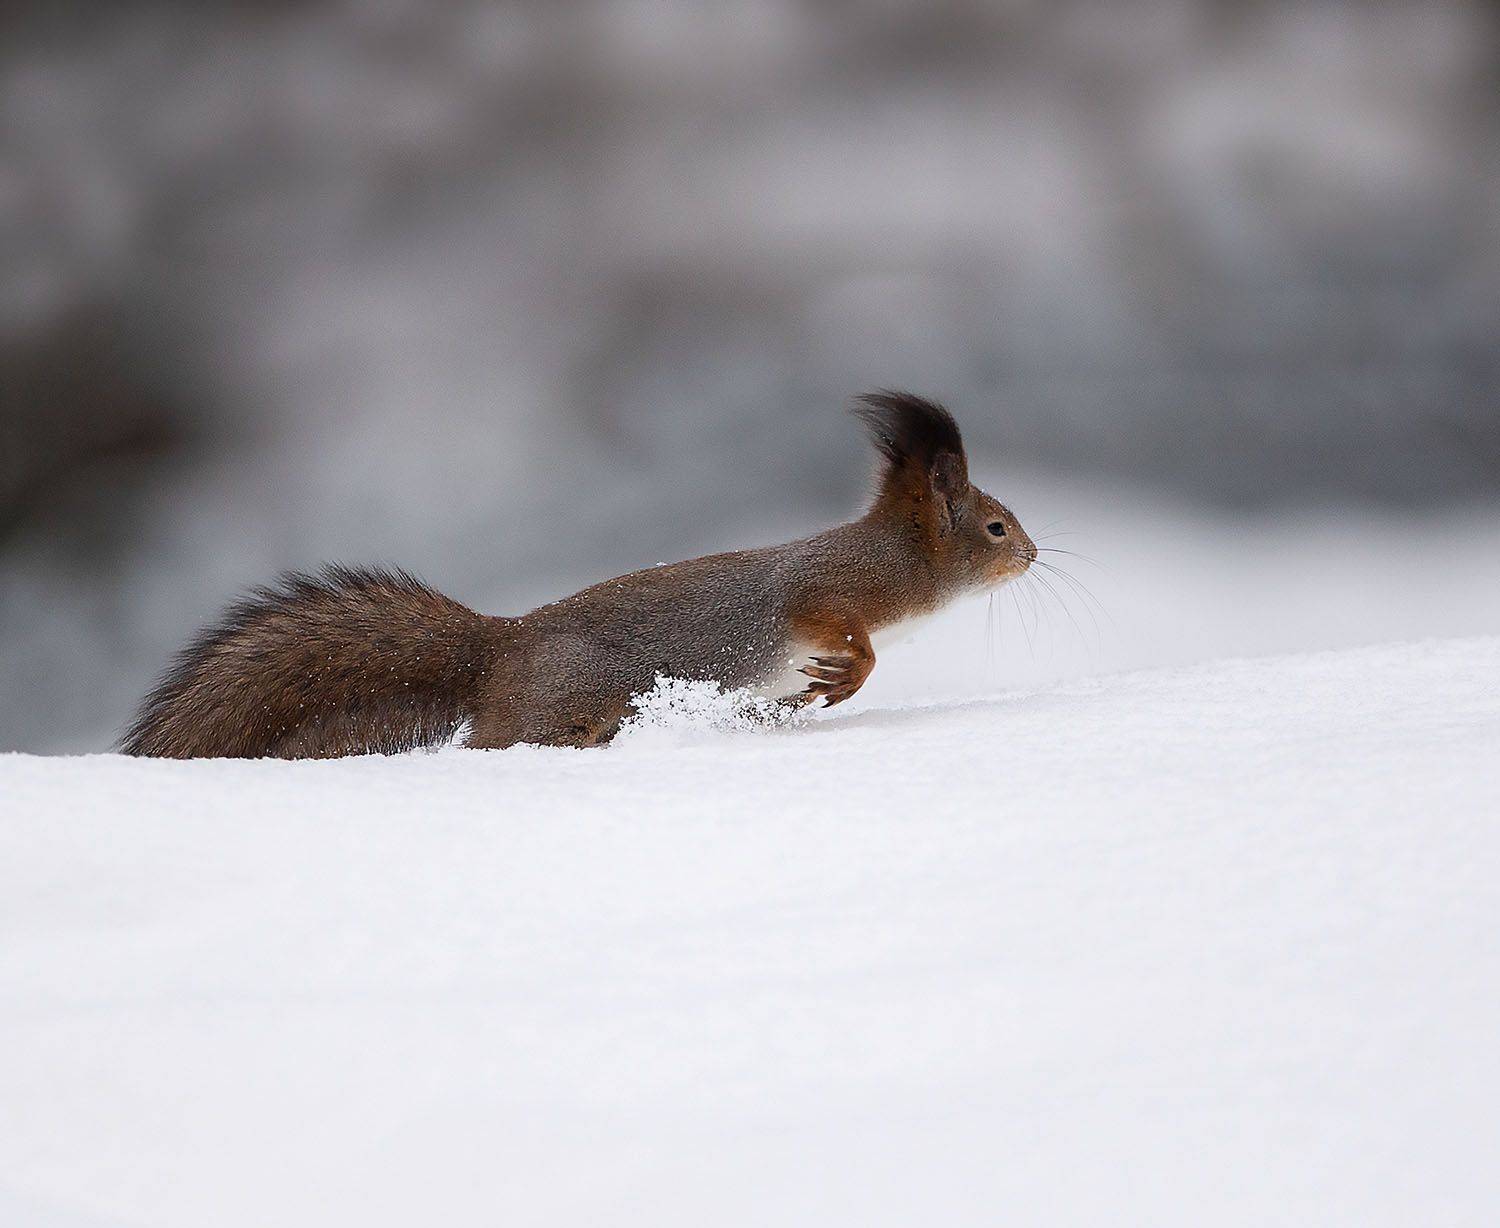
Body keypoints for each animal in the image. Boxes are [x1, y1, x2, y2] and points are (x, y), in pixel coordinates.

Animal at [120, 391, 1036, 758]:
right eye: (995, 527)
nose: (1032, 556)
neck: (905, 562)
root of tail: (497, 651)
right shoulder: (833, 590)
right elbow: (843, 634)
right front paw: (842, 678)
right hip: (563, 700)